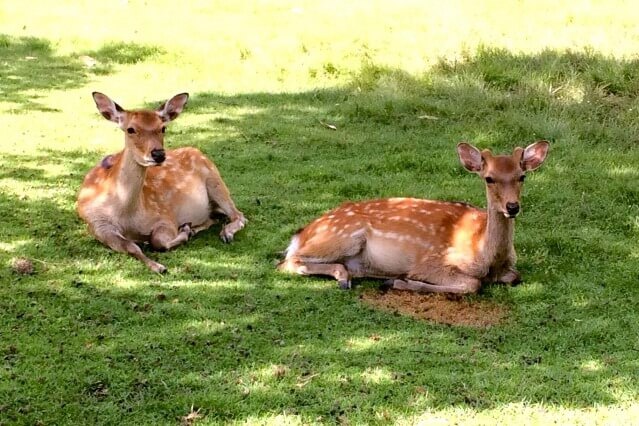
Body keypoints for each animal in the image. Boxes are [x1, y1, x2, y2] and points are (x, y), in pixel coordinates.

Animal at [75, 91, 245, 274]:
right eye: (130, 129)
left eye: (163, 128)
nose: (158, 154)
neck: (126, 215)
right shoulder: (97, 225)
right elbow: (131, 247)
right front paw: (157, 265)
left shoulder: (164, 215)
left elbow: (157, 241)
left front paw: (166, 255)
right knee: (214, 218)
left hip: (215, 180)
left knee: (238, 215)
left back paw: (224, 234)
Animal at [278, 140, 552, 292]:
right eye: (489, 178)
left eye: (522, 176)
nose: (512, 207)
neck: (487, 256)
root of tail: (301, 234)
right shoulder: (431, 262)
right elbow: (473, 284)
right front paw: (400, 282)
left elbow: (515, 276)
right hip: (343, 236)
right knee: (287, 261)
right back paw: (347, 278)